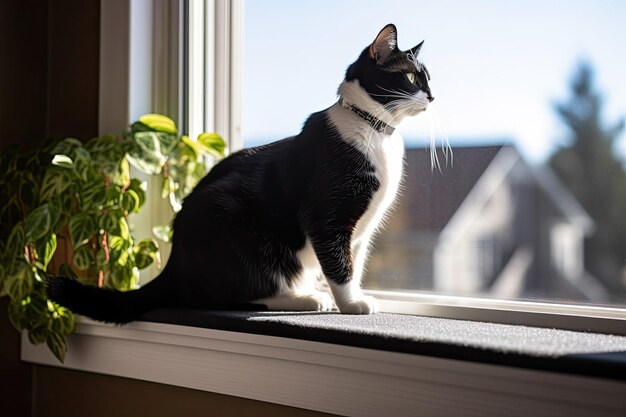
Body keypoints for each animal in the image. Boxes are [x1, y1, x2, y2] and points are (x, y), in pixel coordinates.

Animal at [48, 23, 432, 322]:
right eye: (411, 76)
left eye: (428, 78)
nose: (432, 96)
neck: (374, 130)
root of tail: (175, 264)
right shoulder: (327, 213)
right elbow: (340, 263)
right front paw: (352, 303)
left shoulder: (362, 231)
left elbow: (356, 260)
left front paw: (355, 294)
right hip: (228, 223)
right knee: (225, 295)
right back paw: (304, 298)